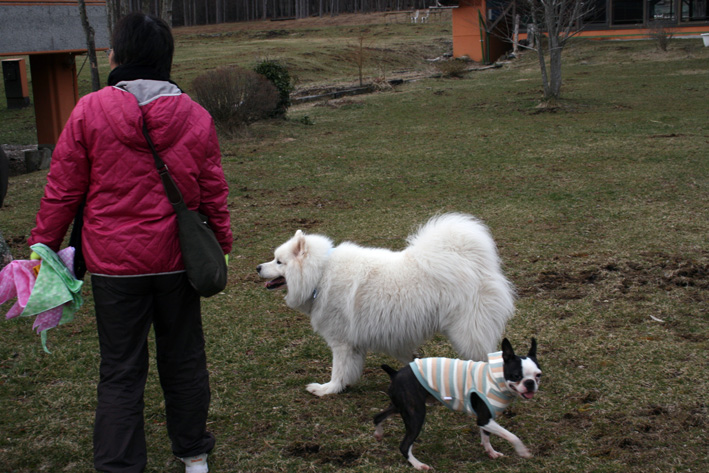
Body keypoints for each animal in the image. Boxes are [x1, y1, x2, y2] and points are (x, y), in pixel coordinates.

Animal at [258, 213, 512, 394]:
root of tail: (471, 261)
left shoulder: (341, 342)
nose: (258, 267)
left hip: (466, 332)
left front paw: (327, 389)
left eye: (279, 261)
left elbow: (338, 370)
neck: (320, 274)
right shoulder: (356, 343)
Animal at [374, 340, 540, 468]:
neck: (495, 378)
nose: (530, 383)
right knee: (404, 446)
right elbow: (512, 436)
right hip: (416, 414)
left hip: (401, 406)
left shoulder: (486, 419)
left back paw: (378, 434)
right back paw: (418, 465)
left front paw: (491, 452)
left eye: (538, 375)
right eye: (516, 376)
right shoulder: (484, 419)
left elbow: (486, 437)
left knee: (378, 416)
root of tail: (395, 373)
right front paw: (523, 452)